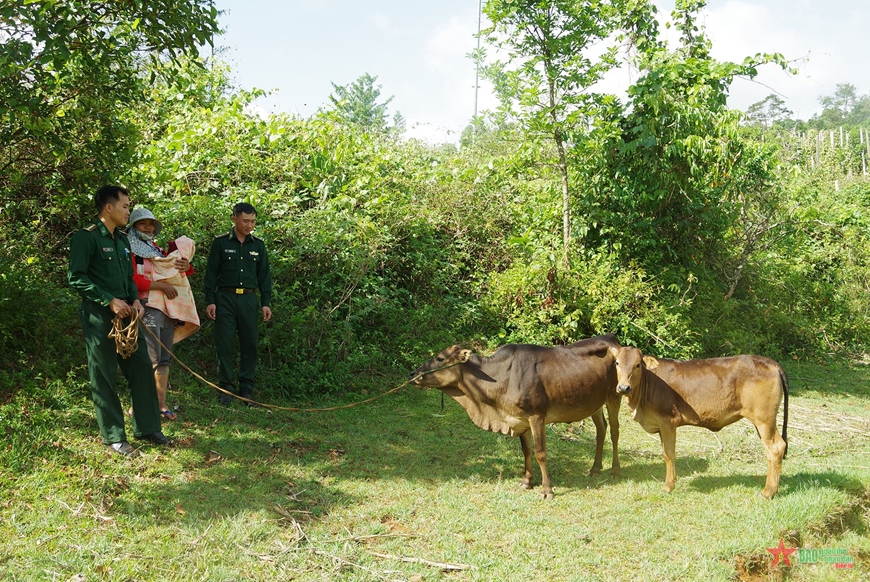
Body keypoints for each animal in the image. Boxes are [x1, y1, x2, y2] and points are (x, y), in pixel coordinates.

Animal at [412, 336, 624, 500]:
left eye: (440, 358)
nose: (413, 373)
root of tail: (612, 339)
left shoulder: (537, 415)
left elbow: (540, 452)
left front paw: (547, 490)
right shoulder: (520, 420)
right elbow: (526, 450)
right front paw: (526, 481)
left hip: (615, 395)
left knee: (615, 430)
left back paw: (615, 470)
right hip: (594, 402)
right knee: (602, 428)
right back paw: (595, 469)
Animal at [612, 346, 792, 502]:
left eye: (637, 365)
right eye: (617, 363)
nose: (624, 387)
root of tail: (771, 363)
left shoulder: (668, 420)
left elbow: (668, 454)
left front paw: (668, 486)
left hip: (764, 419)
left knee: (776, 448)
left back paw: (768, 492)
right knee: (770, 451)